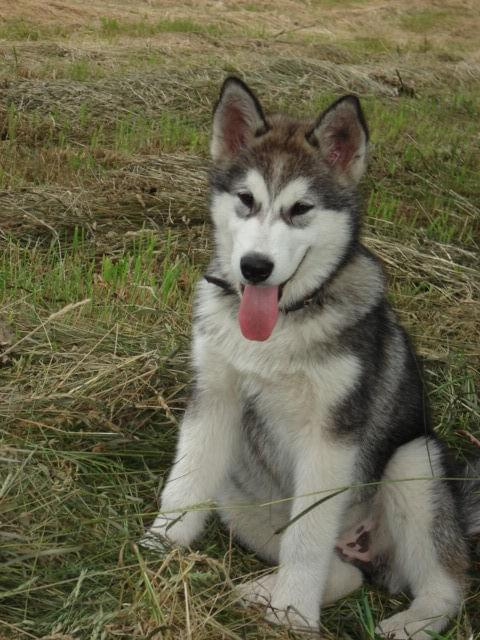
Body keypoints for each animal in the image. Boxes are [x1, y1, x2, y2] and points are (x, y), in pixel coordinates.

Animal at [142, 77, 480, 636]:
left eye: (300, 209)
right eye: (246, 199)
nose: (255, 267)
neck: (283, 323)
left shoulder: (330, 437)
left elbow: (307, 540)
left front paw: (295, 613)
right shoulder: (213, 400)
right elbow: (185, 483)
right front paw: (156, 549)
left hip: (416, 461)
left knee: (445, 583)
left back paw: (409, 622)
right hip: (240, 488)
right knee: (344, 573)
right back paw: (257, 590)